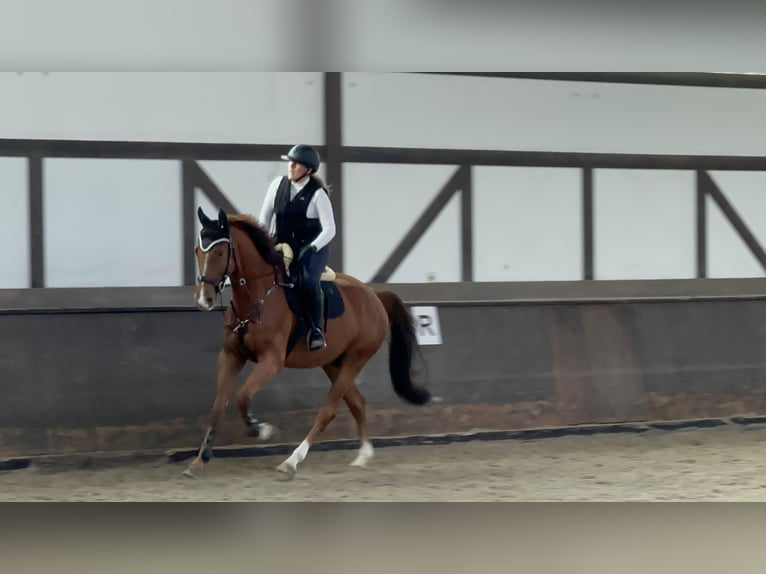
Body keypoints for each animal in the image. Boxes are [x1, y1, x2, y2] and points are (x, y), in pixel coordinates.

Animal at [184, 207, 432, 479]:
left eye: (219, 252)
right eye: (197, 250)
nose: (204, 299)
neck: (258, 296)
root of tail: (374, 296)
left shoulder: (271, 362)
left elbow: (242, 396)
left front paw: (260, 429)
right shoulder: (230, 356)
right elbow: (218, 407)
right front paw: (199, 461)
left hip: (356, 358)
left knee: (328, 411)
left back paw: (292, 461)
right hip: (333, 362)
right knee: (357, 403)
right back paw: (363, 456)